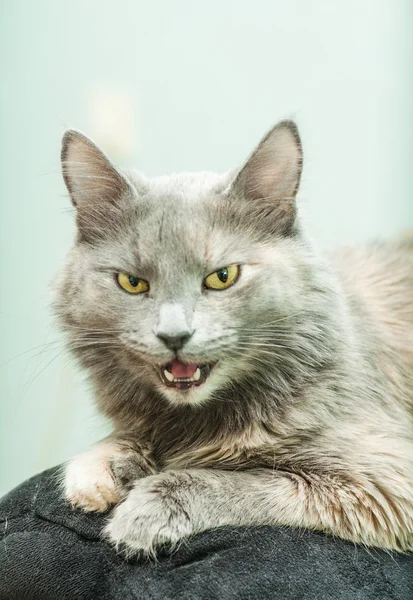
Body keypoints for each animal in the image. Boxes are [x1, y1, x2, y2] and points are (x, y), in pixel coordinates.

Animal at [58, 119, 412, 556]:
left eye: (222, 277)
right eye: (132, 282)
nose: (174, 335)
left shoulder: (381, 480)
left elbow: (236, 480)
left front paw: (144, 512)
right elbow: (124, 437)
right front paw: (98, 469)